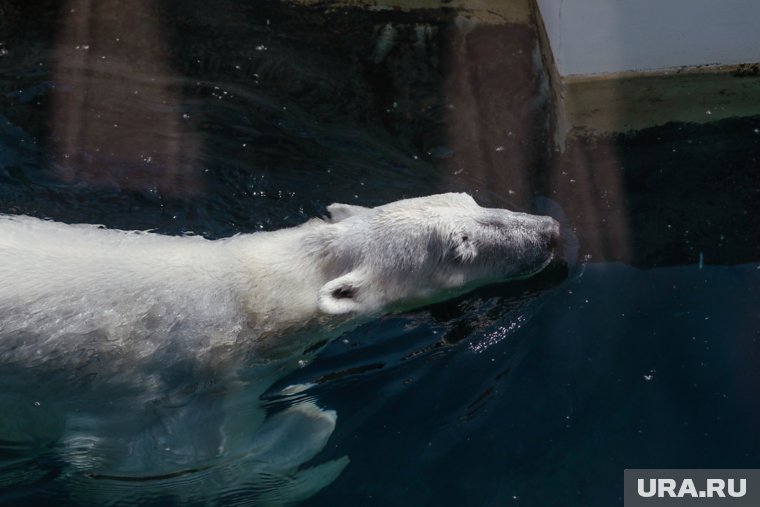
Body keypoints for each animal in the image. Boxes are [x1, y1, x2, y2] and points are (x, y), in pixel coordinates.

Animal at [0, 192, 560, 506]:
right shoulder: (174, 389)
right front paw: (311, 424)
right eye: (460, 247)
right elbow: (175, 467)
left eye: (471, 200)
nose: (551, 232)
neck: (262, 291)